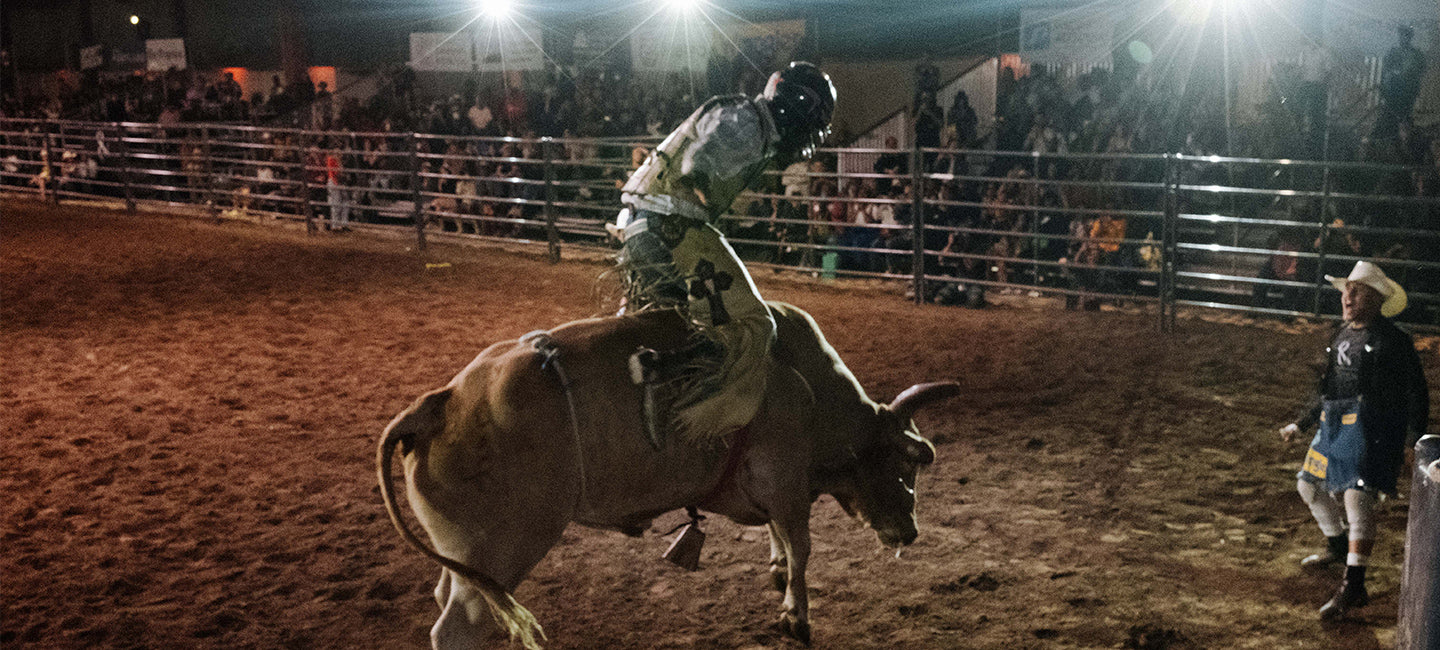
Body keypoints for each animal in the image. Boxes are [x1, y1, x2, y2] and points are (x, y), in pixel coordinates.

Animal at [377, 302, 961, 648]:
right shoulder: (786, 480)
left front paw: (774, 569)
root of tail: (438, 403)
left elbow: (778, 539)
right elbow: (801, 549)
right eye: (908, 461)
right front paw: (796, 615)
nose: (909, 531)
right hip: (501, 552)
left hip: (466, 560)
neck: (806, 383)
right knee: (458, 628)